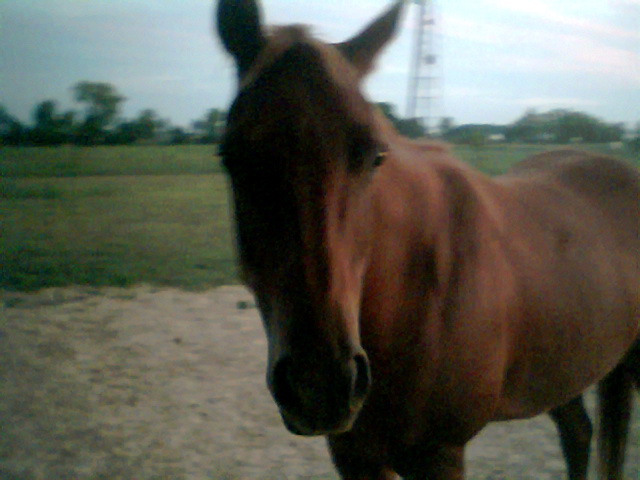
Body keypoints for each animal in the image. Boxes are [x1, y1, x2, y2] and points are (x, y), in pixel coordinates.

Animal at [215, 1, 640, 478]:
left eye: (375, 156)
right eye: (231, 157)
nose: (319, 384)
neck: (413, 292)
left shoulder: (440, 453)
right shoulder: (352, 453)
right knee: (578, 433)